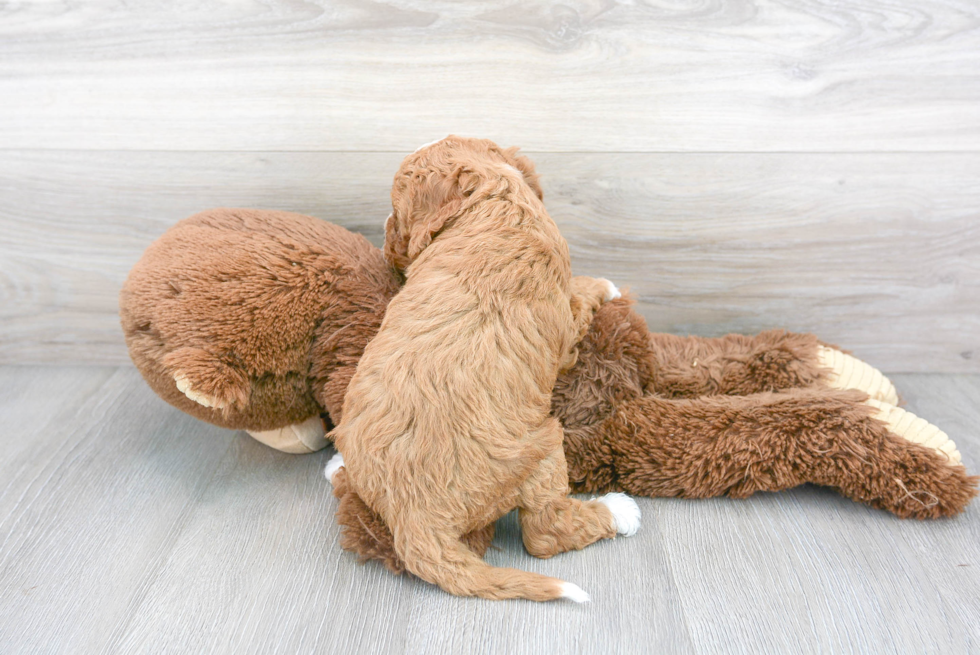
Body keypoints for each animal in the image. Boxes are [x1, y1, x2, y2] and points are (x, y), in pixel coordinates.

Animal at [330, 138, 640, 604]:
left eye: (395, 211)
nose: (385, 242)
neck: (493, 200)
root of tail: (412, 519)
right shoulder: (565, 324)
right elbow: (581, 294)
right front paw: (607, 285)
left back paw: (335, 463)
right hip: (543, 449)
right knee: (544, 532)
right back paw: (619, 511)